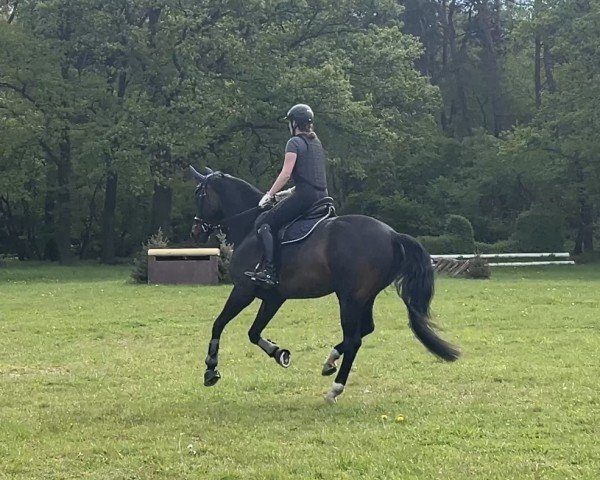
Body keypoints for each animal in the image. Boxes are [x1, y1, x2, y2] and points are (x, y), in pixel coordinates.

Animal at [192, 167, 460, 404]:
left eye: (199, 194)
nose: (195, 230)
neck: (249, 227)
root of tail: (393, 235)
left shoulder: (243, 290)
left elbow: (218, 324)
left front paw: (211, 369)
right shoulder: (274, 297)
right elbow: (253, 332)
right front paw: (279, 354)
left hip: (349, 298)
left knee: (354, 339)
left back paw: (334, 389)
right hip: (364, 297)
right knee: (365, 330)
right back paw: (330, 361)